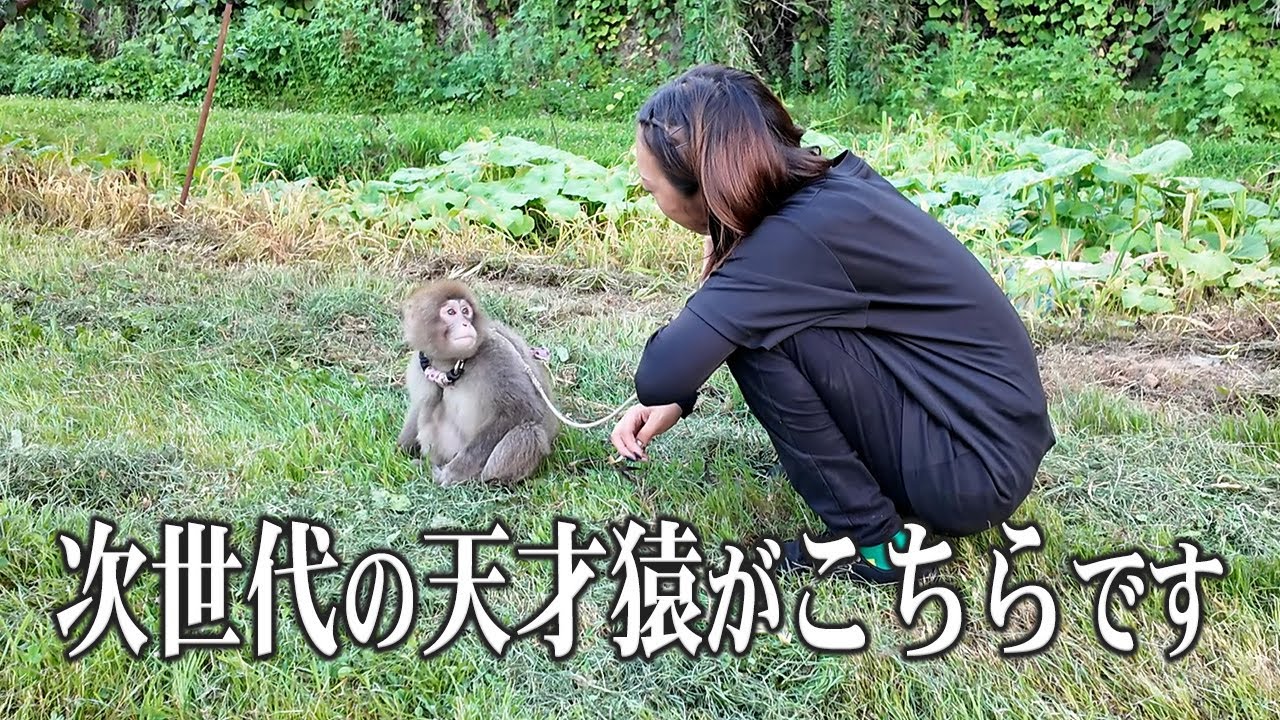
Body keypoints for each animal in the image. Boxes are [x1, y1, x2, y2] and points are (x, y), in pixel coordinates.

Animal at [396, 279, 560, 487]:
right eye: (451, 312)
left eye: (465, 311)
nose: (465, 323)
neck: (449, 363)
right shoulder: (418, 366)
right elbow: (418, 406)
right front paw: (402, 450)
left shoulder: (498, 355)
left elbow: (522, 409)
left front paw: (454, 472)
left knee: (530, 432)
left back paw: (486, 480)